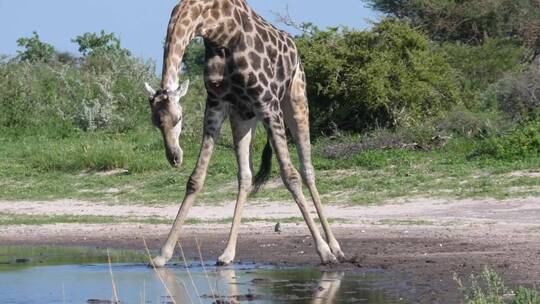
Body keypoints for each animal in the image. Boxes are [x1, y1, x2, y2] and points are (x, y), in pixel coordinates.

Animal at [144, 0, 346, 266]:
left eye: (178, 120)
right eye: (156, 123)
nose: (174, 157)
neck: (216, 30)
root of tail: (293, 45)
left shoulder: (268, 103)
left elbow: (290, 176)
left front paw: (323, 251)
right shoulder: (216, 102)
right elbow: (196, 179)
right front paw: (162, 254)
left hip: (295, 99)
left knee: (307, 170)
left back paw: (335, 247)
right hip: (243, 116)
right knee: (246, 176)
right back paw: (227, 253)